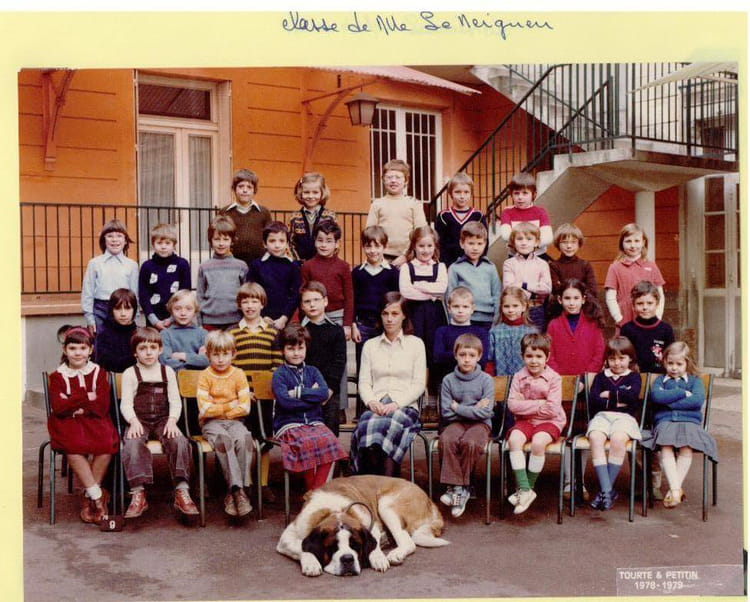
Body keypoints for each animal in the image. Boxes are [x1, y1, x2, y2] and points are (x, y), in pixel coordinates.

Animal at [277, 475, 449, 576]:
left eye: (355, 545)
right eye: (332, 546)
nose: (347, 559)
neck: (333, 510)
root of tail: (430, 500)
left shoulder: (370, 523)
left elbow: (374, 543)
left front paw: (378, 558)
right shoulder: (288, 536)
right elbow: (301, 546)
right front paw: (311, 563)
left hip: (386, 505)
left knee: (408, 541)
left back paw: (395, 553)